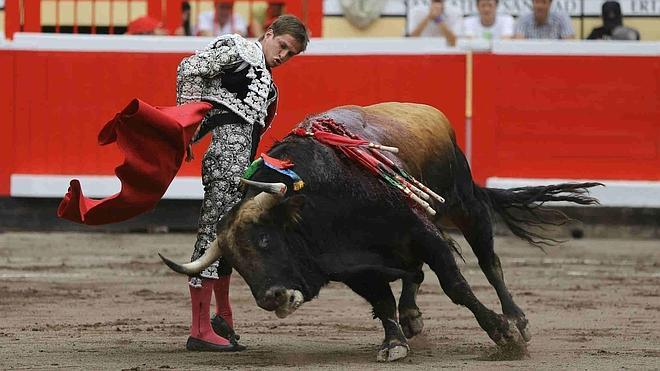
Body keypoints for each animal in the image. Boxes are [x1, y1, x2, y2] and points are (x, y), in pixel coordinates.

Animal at [160, 102, 600, 364]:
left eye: (266, 240)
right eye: (235, 264)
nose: (272, 298)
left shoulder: (423, 232)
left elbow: (456, 286)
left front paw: (502, 334)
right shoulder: (354, 267)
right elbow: (382, 300)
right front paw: (394, 342)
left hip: (466, 205)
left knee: (489, 263)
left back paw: (517, 319)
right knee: (414, 275)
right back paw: (412, 316)